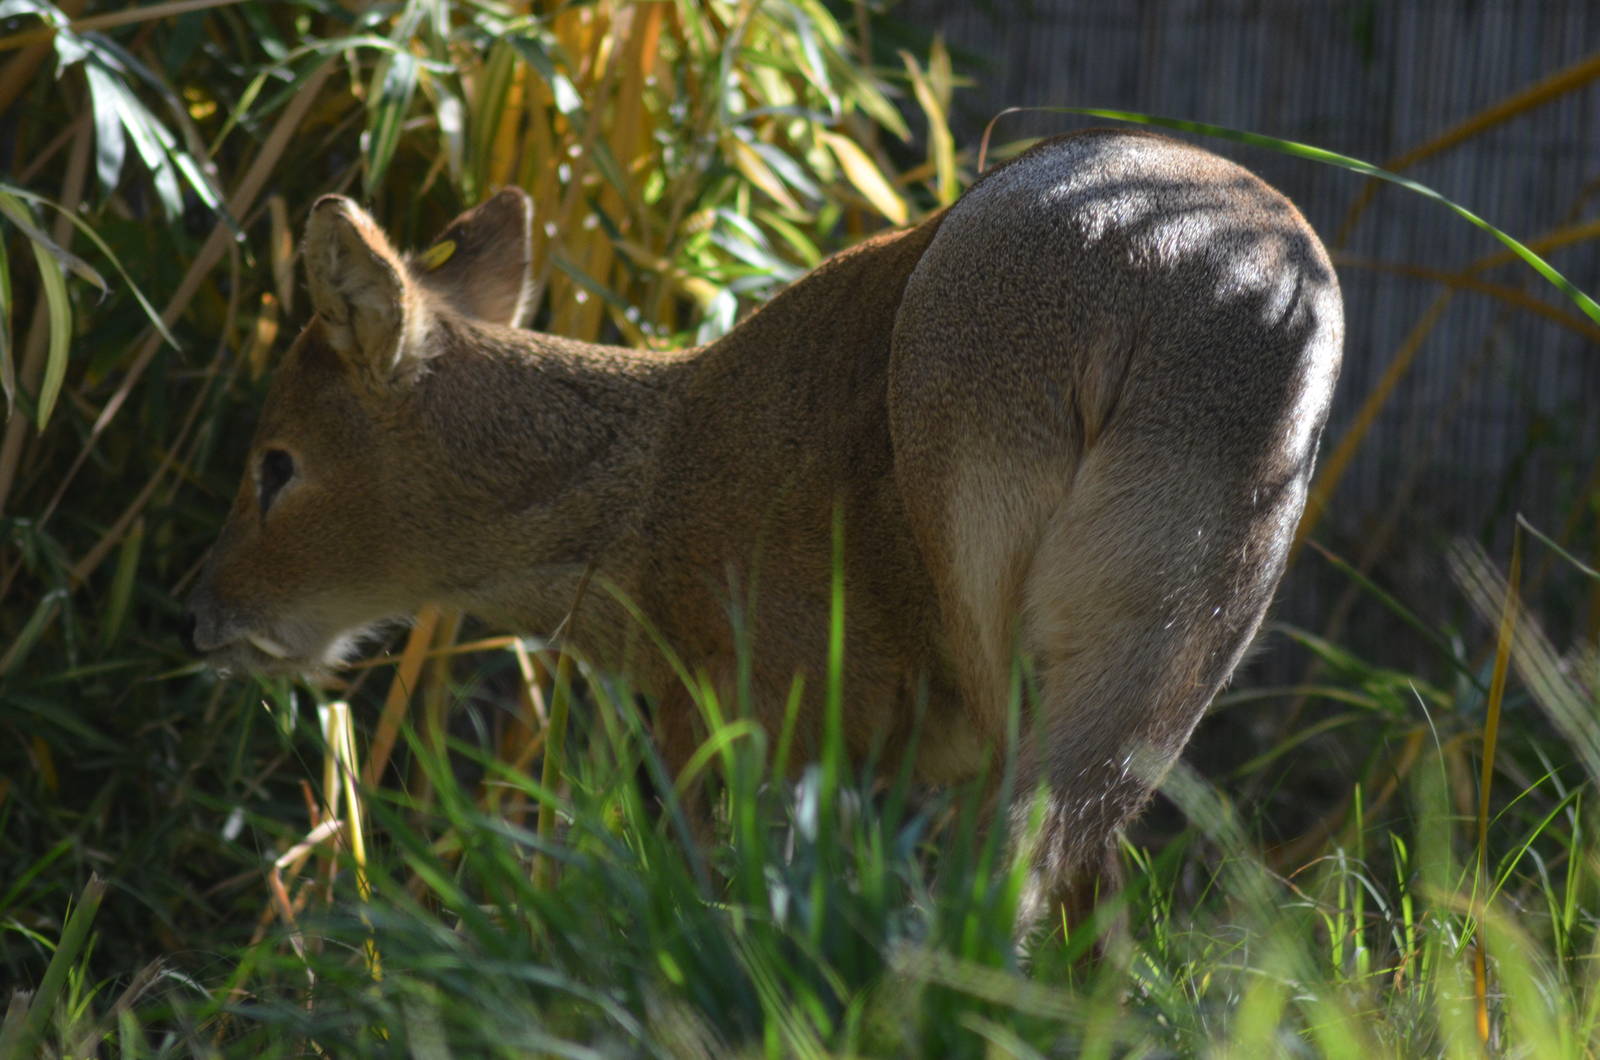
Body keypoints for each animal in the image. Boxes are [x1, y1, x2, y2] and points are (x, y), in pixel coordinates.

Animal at [183, 128, 1343, 937]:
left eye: (277, 462)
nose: (203, 608)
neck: (644, 505)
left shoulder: (748, 708)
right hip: (1183, 620)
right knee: (1080, 872)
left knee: (1004, 862)